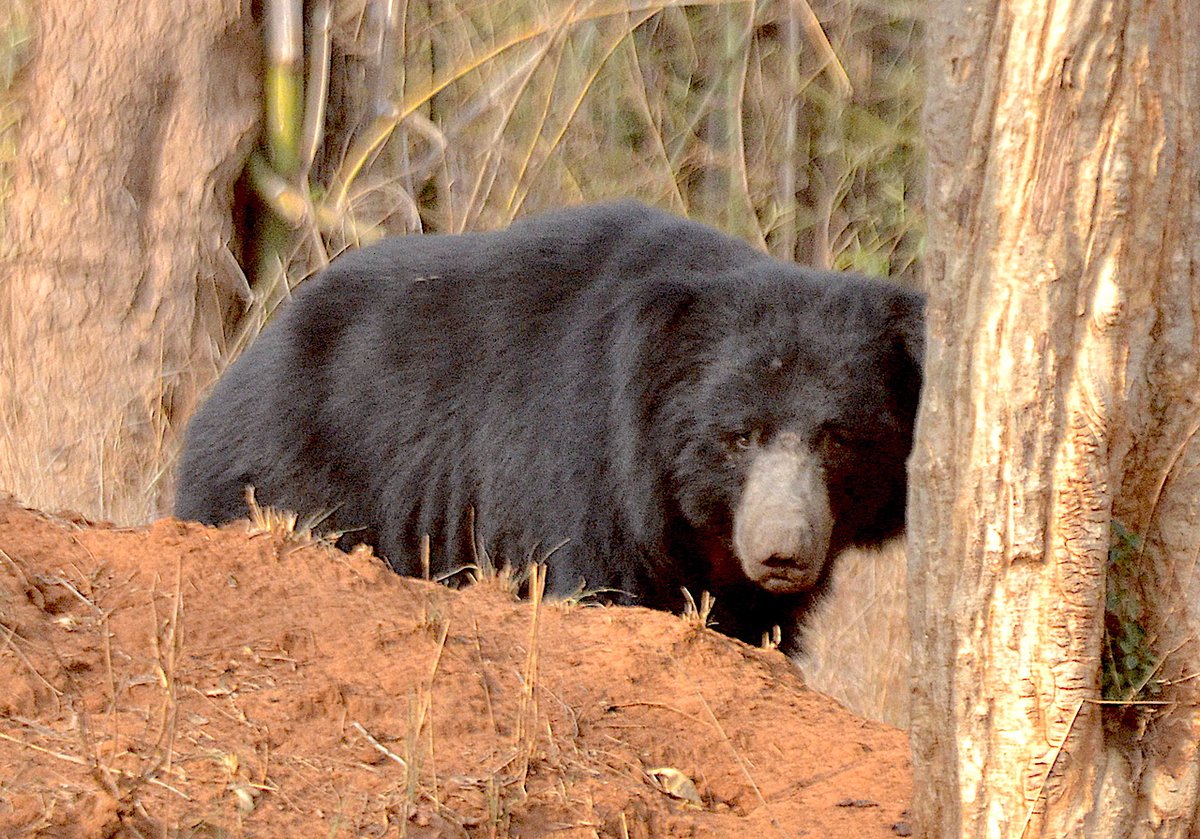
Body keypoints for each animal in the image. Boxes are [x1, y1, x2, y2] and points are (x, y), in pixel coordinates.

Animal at [175, 201, 924, 651]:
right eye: (739, 436)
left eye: (839, 438)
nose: (782, 554)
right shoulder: (580, 458)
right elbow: (593, 579)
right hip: (291, 471)